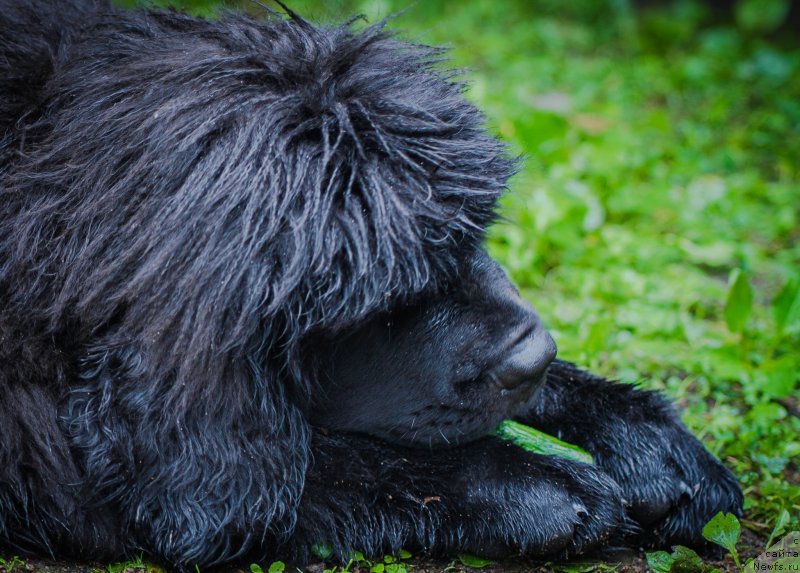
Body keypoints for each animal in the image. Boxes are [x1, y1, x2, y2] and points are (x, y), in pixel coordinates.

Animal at [0, 1, 740, 568]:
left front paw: (648, 440)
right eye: (386, 304)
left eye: (473, 234)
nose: (533, 357)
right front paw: (536, 483)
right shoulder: (47, 459)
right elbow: (302, 472)